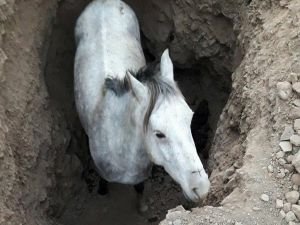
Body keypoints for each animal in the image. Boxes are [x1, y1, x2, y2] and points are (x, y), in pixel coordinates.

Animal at [74, 0, 210, 204]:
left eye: (189, 119)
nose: (201, 188)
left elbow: (140, 188)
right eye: (159, 134)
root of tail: (104, 2)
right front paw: (103, 191)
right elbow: (104, 181)